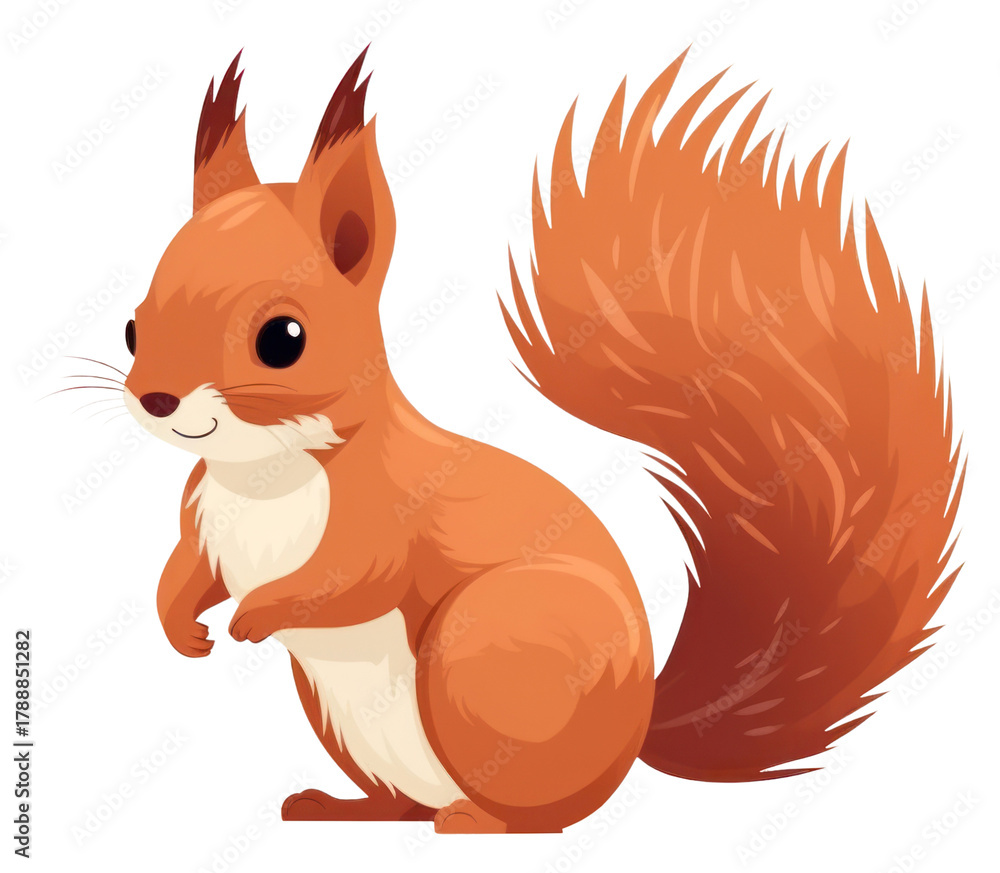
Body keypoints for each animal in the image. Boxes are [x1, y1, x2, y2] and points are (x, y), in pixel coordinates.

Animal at [118, 47, 963, 833]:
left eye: (282, 339)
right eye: (131, 326)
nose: (156, 399)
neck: (263, 469)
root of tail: (634, 736)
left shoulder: (382, 515)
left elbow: (349, 578)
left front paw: (255, 614)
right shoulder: (202, 517)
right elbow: (188, 570)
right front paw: (180, 624)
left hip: (483, 649)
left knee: (538, 812)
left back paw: (474, 819)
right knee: (402, 803)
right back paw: (342, 808)